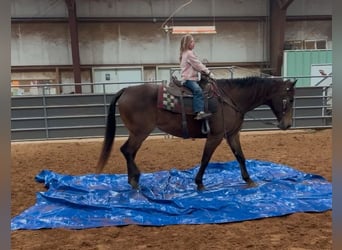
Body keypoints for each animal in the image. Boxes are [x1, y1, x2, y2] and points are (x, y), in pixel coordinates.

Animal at [96, 75, 296, 190]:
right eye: (290, 99)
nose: (287, 124)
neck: (230, 99)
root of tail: (126, 90)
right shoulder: (216, 136)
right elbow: (205, 159)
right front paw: (199, 183)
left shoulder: (232, 134)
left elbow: (240, 156)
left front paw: (249, 180)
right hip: (140, 132)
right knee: (127, 151)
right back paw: (135, 179)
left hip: (138, 133)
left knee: (129, 152)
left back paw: (133, 180)